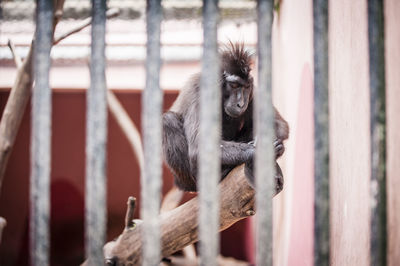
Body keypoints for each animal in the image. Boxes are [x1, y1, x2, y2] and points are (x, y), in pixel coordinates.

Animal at [161, 42, 290, 192]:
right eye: (234, 85)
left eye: (246, 87)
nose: (241, 104)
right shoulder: (201, 93)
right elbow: (200, 146)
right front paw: (260, 151)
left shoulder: (252, 93)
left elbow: (280, 124)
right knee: (168, 120)